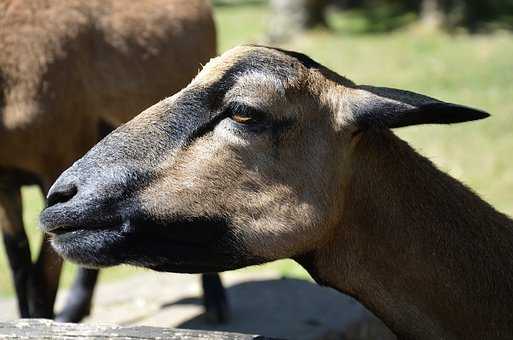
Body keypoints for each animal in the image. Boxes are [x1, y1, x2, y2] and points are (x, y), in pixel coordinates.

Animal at [0, 0, 228, 322]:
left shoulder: (58, 158)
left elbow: (42, 272)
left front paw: (41, 321)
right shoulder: (5, 180)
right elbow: (18, 260)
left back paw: (216, 304)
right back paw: (74, 310)